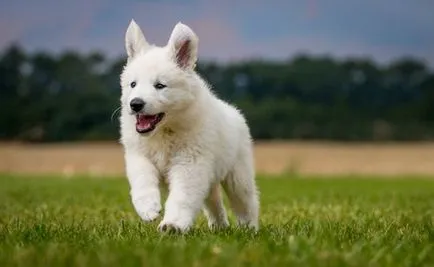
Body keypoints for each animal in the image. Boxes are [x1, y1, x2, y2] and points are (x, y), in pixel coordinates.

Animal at [118, 19, 260, 233]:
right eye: (133, 84)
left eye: (160, 85)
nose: (135, 104)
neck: (164, 131)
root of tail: (233, 111)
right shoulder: (138, 155)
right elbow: (142, 179)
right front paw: (148, 207)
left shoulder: (190, 164)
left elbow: (182, 196)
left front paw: (172, 225)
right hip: (210, 178)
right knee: (213, 201)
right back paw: (219, 226)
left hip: (237, 175)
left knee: (246, 202)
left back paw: (249, 228)